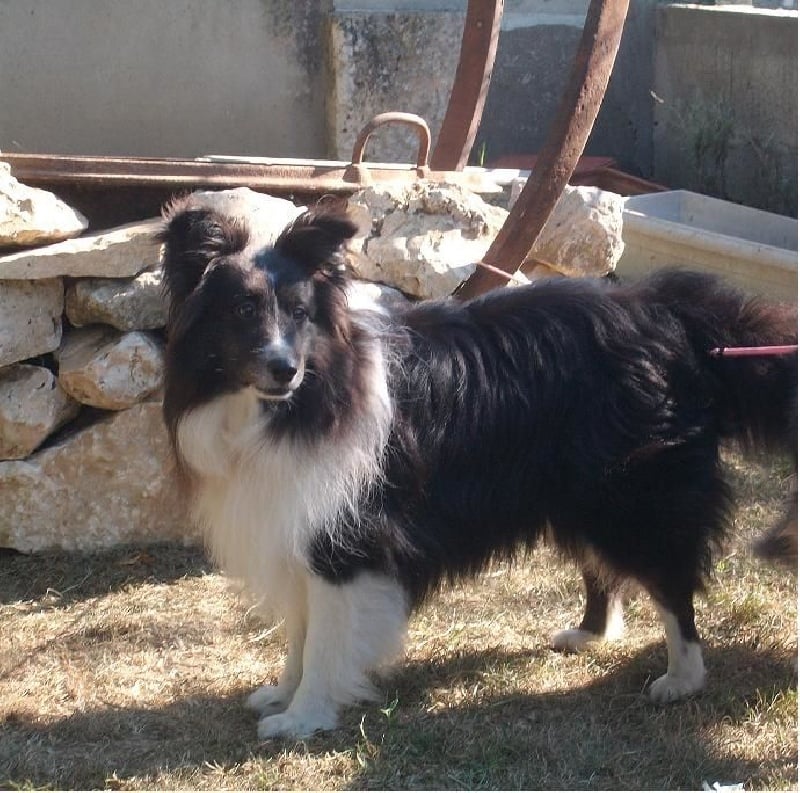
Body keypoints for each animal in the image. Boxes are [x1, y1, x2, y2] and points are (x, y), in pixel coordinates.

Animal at [159, 198, 796, 736]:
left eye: (299, 313)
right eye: (242, 309)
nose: (284, 369)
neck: (298, 403)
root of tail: (665, 311)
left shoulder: (348, 540)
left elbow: (325, 639)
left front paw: (303, 719)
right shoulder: (294, 526)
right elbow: (299, 630)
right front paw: (282, 694)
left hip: (636, 492)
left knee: (670, 581)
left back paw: (681, 679)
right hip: (583, 488)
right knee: (605, 569)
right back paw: (589, 634)